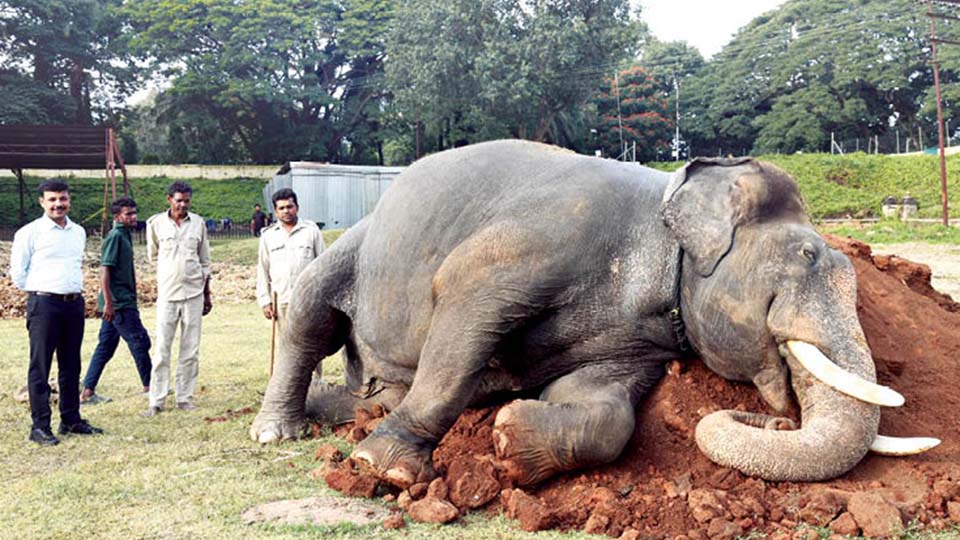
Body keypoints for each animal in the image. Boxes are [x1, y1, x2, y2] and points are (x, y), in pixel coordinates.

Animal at [250, 139, 936, 488]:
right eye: (807, 254)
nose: (777, 417)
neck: (666, 207)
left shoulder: (636, 338)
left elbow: (606, 409)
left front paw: (510, 438)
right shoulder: (536, 241)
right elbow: (464, 295)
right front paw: (384, 468)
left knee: (363, 384)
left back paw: (345, 414)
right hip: (353, 246)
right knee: (309, 315)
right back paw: (277, 432)